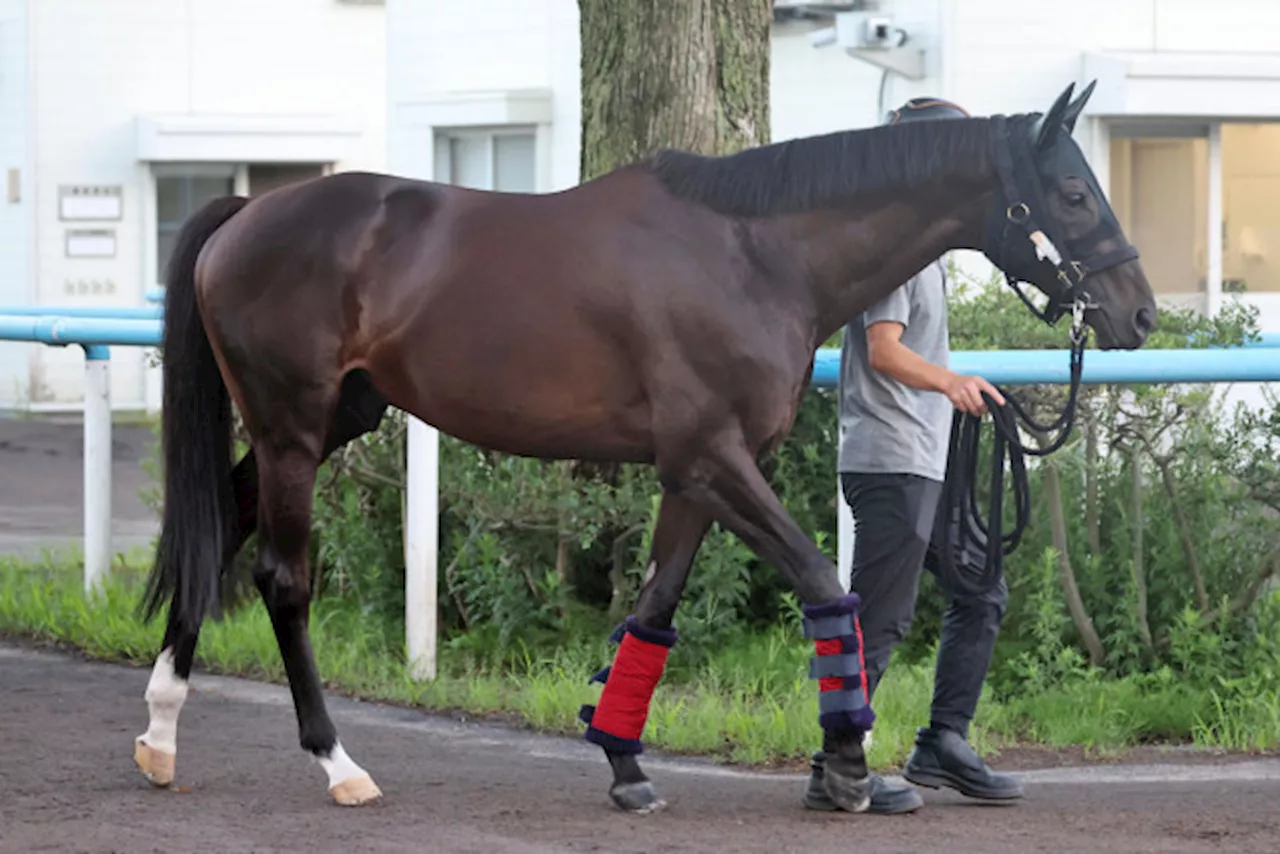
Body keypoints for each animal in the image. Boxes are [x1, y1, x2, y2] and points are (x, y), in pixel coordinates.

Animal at [132, 81, 1162, 819]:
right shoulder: (714, 459)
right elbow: (824, 584)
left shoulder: (696, 475)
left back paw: (162, 734)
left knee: (215, 532)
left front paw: (625, 763)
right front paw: (844, 765)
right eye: (1074, 191)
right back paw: (337, 761)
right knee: (281, 580)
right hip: (292, 431)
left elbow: (655, 610)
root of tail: (244, 216)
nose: (1140, 314)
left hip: (328, 421)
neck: (755, 253)